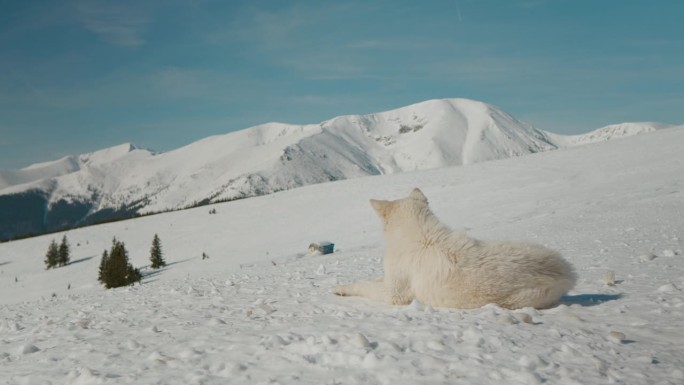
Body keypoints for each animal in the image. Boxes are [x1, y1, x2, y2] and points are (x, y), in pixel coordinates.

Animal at [336, 188, 576, 308]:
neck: (419, 235)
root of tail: (567, 271)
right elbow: (372, 280)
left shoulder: (394, 293)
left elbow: (364, 285)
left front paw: (342, 289)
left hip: (519, 299)